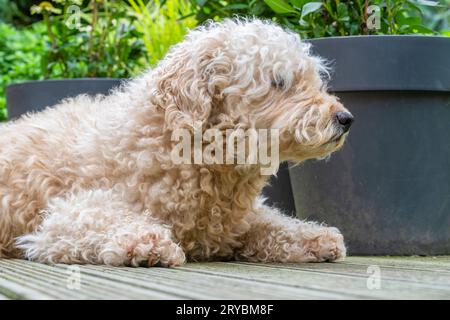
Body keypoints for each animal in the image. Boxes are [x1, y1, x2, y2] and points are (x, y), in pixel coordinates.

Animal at [0, 18, 352, 266]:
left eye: (314, 80)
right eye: (279, 82)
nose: (345, 118)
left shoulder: (235, 221)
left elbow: (273, 224)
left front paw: (313, 236)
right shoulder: (63, 218)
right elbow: (98, 220)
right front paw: (146, 242)